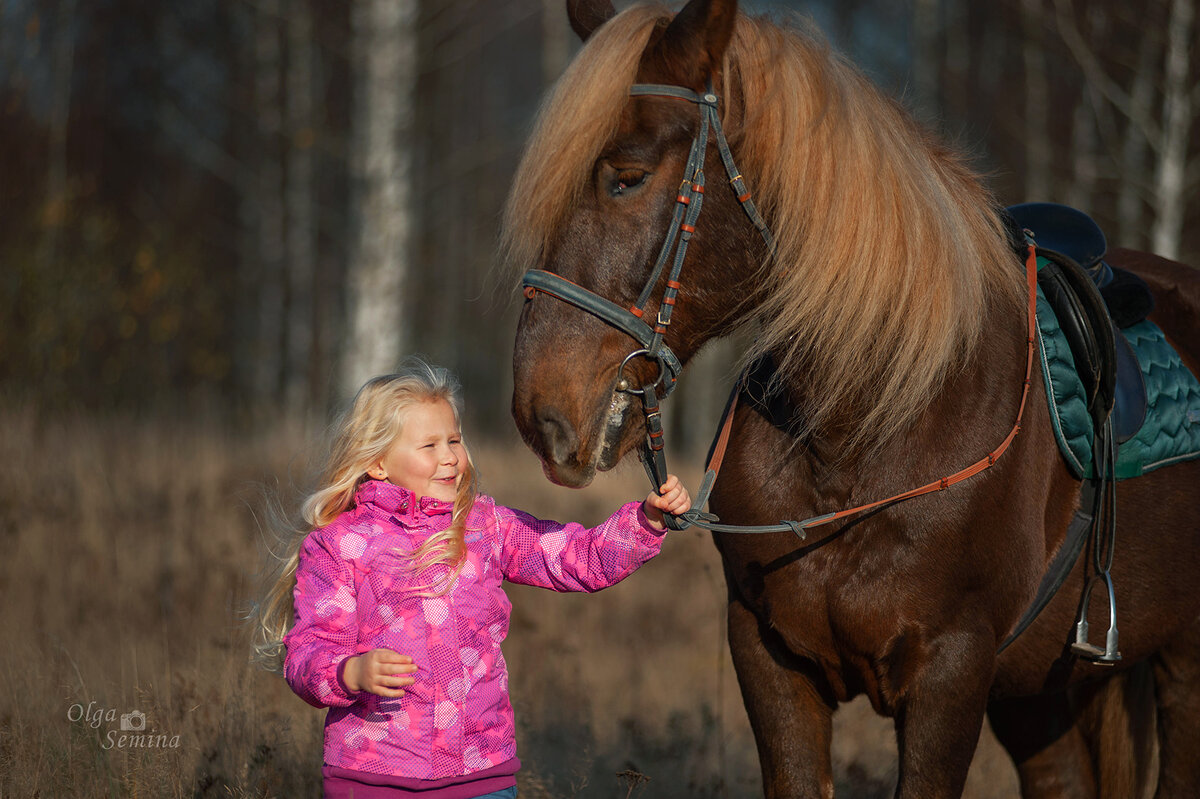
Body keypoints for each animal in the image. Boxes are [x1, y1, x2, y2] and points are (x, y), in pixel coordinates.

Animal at [501, 3, 1200, 791]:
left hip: (1182, 668)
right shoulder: (769, 658)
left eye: (626, 177)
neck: (864, 432)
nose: (540, 410)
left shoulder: (951, 674)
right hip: (1039, 695)